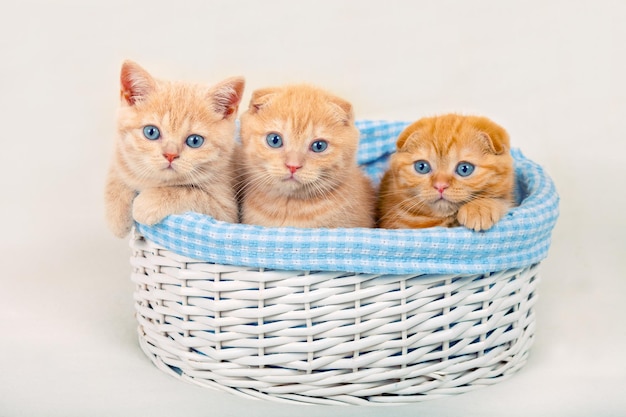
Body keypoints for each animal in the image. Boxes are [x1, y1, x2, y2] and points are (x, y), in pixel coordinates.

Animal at [103, 61, 243, 237]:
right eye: (151, 132)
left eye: (195, 141)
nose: (170, 155)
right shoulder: (121, 154)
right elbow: (118, 172)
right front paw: (116, 216)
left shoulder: (225, 212)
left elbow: (189, 192)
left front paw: (146, 203)